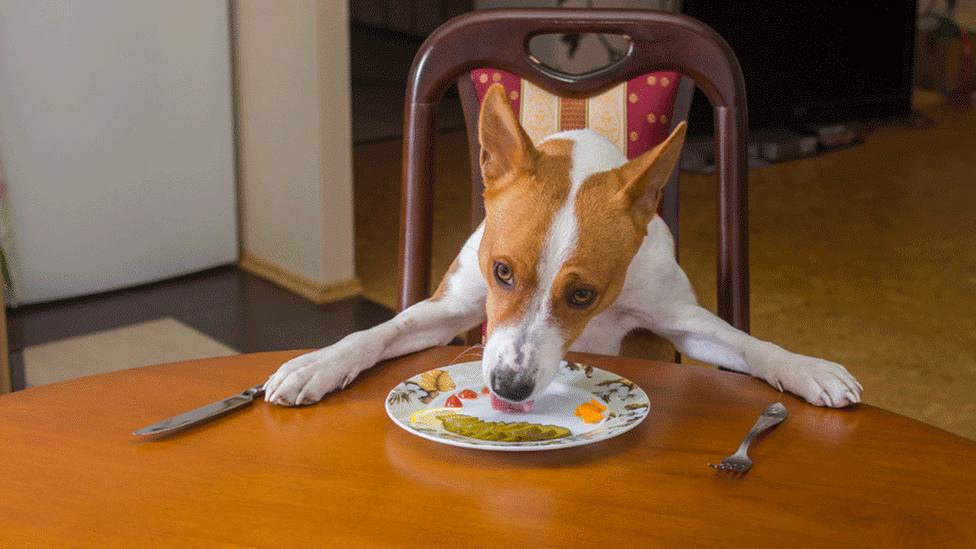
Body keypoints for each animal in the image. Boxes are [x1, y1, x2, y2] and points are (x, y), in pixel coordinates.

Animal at [262, 82, 860, 406]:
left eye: (582, 296)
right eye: (502, 272)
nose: (508, 387)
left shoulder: (678, 322)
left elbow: (749, 343)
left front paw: (805, 367)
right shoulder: (450, 307)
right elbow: (377, 332)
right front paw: (319, 362)